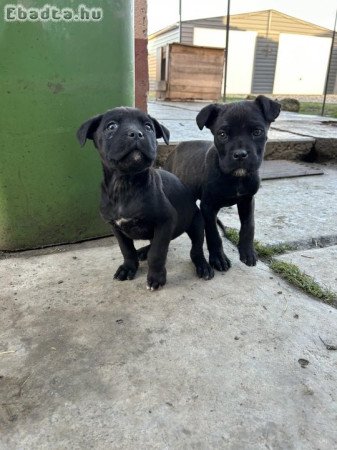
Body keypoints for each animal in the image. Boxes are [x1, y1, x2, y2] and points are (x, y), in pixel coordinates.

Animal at [76, 107, 213, 290]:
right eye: (111, 126)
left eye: (148, 127)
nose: (136, 134)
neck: (125, 184)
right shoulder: (115, 227)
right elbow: (126, 249)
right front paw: (128, 268)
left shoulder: (165, 221)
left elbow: (157, 252)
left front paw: (156, 277)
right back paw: (142, 251)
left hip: (197, 223)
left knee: (195, 249)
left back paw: (203, 266)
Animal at [164, 95, 280, 270]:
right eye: (222, 134)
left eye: (257, 132)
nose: (240, 155)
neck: (235, 177)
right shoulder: (208, 206)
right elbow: (213, 233)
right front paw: (218, 258)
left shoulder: (247, 200)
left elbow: (249, 225)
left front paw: (247, 252)